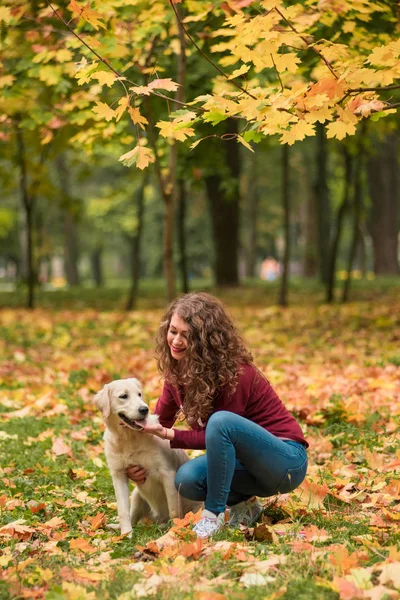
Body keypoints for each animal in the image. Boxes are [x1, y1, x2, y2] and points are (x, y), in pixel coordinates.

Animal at [95, 378, 202, 536]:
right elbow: (123, 510)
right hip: (137, 495)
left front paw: (174, 531)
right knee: (133, 516)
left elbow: (174, 510)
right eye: (123, 396)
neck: (129, 438)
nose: (144, 409)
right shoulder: (118, 474)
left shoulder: (167, 473)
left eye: (139, 394)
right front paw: (126, 534)